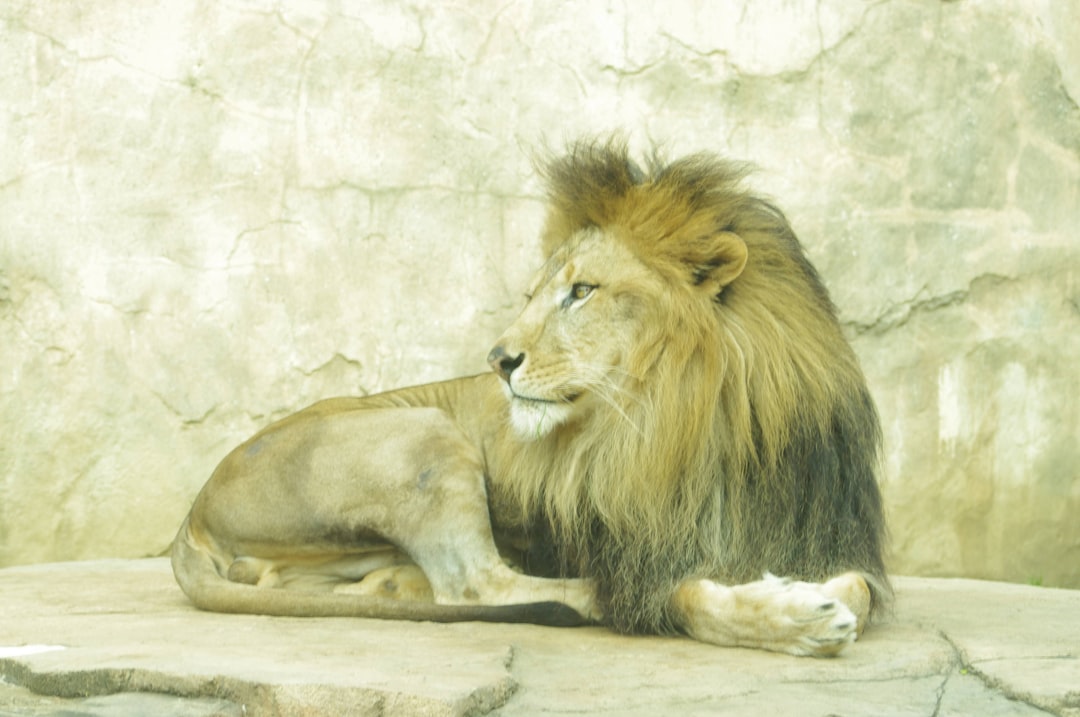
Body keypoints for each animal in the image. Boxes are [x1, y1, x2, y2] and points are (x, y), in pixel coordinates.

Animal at [172, 139, 889, 657]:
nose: (497, 359)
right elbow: (679, 595)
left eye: (582, 291)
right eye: (533, 296)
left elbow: (859, 585)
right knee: (477, 586)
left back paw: (398, 582)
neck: (691, 419)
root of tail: (194, 511)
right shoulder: (637, 558)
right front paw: (798, 616)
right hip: (423, 434)